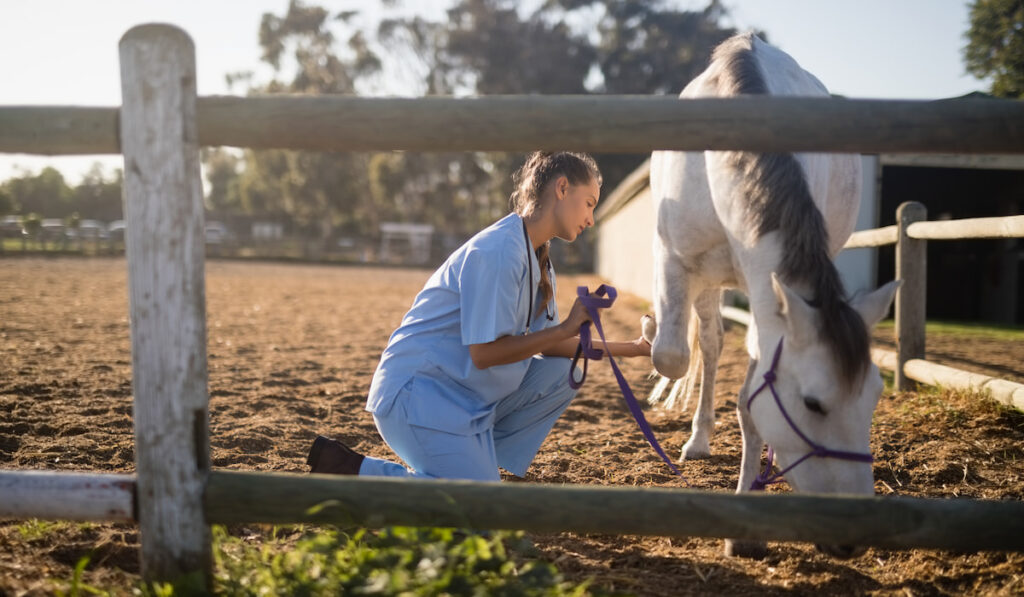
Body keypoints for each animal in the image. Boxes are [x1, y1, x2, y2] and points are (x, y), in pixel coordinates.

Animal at [643, 31, 901, 557]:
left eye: (874, 398)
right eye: (814, 404)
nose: (855, 531)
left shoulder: (766, 293)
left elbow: (749, 402)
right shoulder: (678, 263)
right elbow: (672, 356)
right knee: (707, 346)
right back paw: (698, 440)